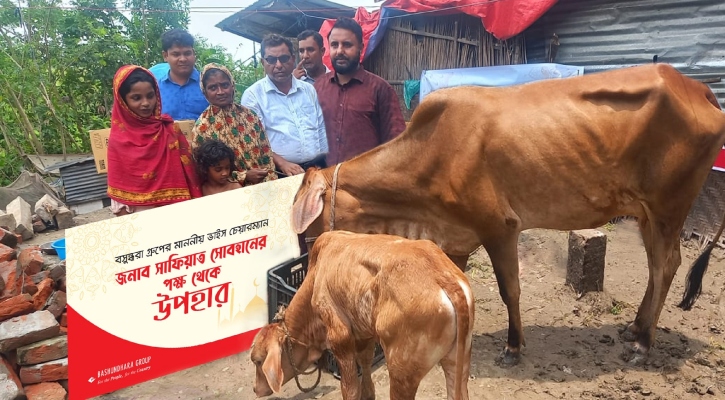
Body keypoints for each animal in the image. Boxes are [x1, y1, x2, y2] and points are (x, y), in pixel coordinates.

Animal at [249, 231, 476, 400]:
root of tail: (444, 277)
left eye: (258, 360)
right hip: (458, 362)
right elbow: (366, 365)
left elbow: (350, 389)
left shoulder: (340, 338)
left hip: (402, 372)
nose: (255, 389)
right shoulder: (364, 334)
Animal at [292, 63, 724, 366]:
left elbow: (509, 289)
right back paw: (634, 327)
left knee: (666, 266)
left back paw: (644, 344)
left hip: (668, 208)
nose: (306, 260)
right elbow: (456, 287)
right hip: (647, 213)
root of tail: (696, 87)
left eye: (309, 226)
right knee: (656, 267)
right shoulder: (456, 238)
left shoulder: (499, 228)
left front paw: (514, 347)